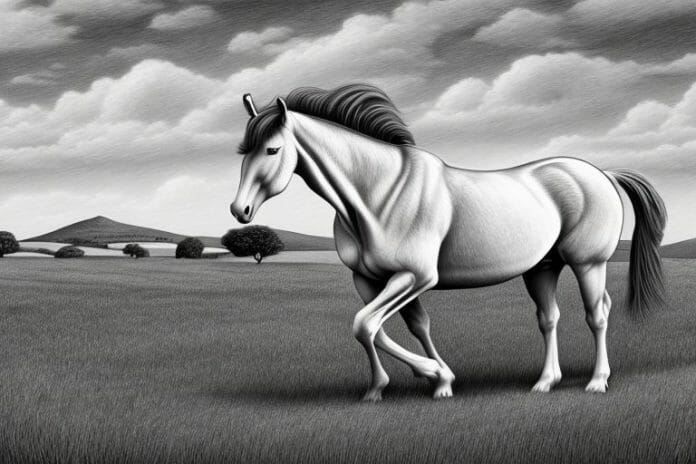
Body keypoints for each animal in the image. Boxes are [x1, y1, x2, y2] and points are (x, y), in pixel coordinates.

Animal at [230, 84, 667, 402]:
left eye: (272, 148)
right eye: (243, 152)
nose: (239, 210)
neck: (379, 196)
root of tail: (602, 173)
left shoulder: (415, 277)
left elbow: (366, 324)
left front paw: (433, 374)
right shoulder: (370, 280)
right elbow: (390, 327)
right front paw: (404, 385)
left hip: (588, 263)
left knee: (598, 315)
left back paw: (596, 381)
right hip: (542, 268)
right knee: (549, 318)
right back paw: (545, 382)